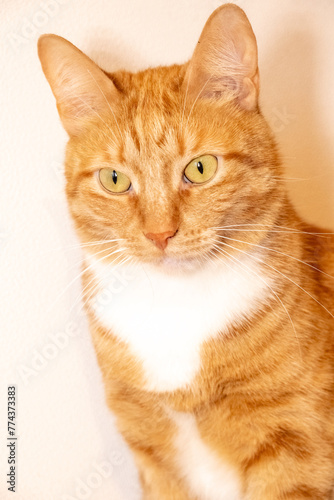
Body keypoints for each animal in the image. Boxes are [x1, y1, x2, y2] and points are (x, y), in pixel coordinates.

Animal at [37, 4, 334, 500]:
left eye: (200, 168)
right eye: (114, 180)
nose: (161, 234)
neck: (175, 307)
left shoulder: (295, 448)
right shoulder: (152, 455)